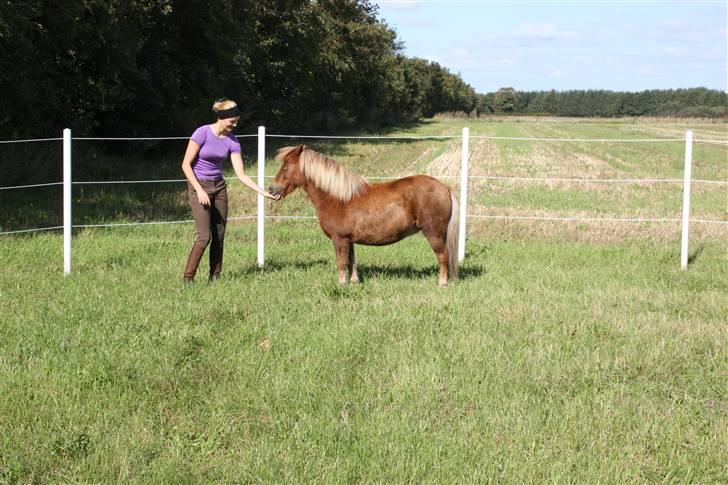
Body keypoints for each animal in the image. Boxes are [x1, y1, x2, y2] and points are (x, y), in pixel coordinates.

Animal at [268, 144, 460, 288]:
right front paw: (354, 281)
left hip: (434, 233)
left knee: (443, 255)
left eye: (285, 166)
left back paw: (442, 283)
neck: (337, 197)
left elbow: (341, 262)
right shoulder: (349, 239)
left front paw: (341, 284)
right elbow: (352, 261)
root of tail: (445, 188)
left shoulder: (339, 239)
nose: (271, 189)